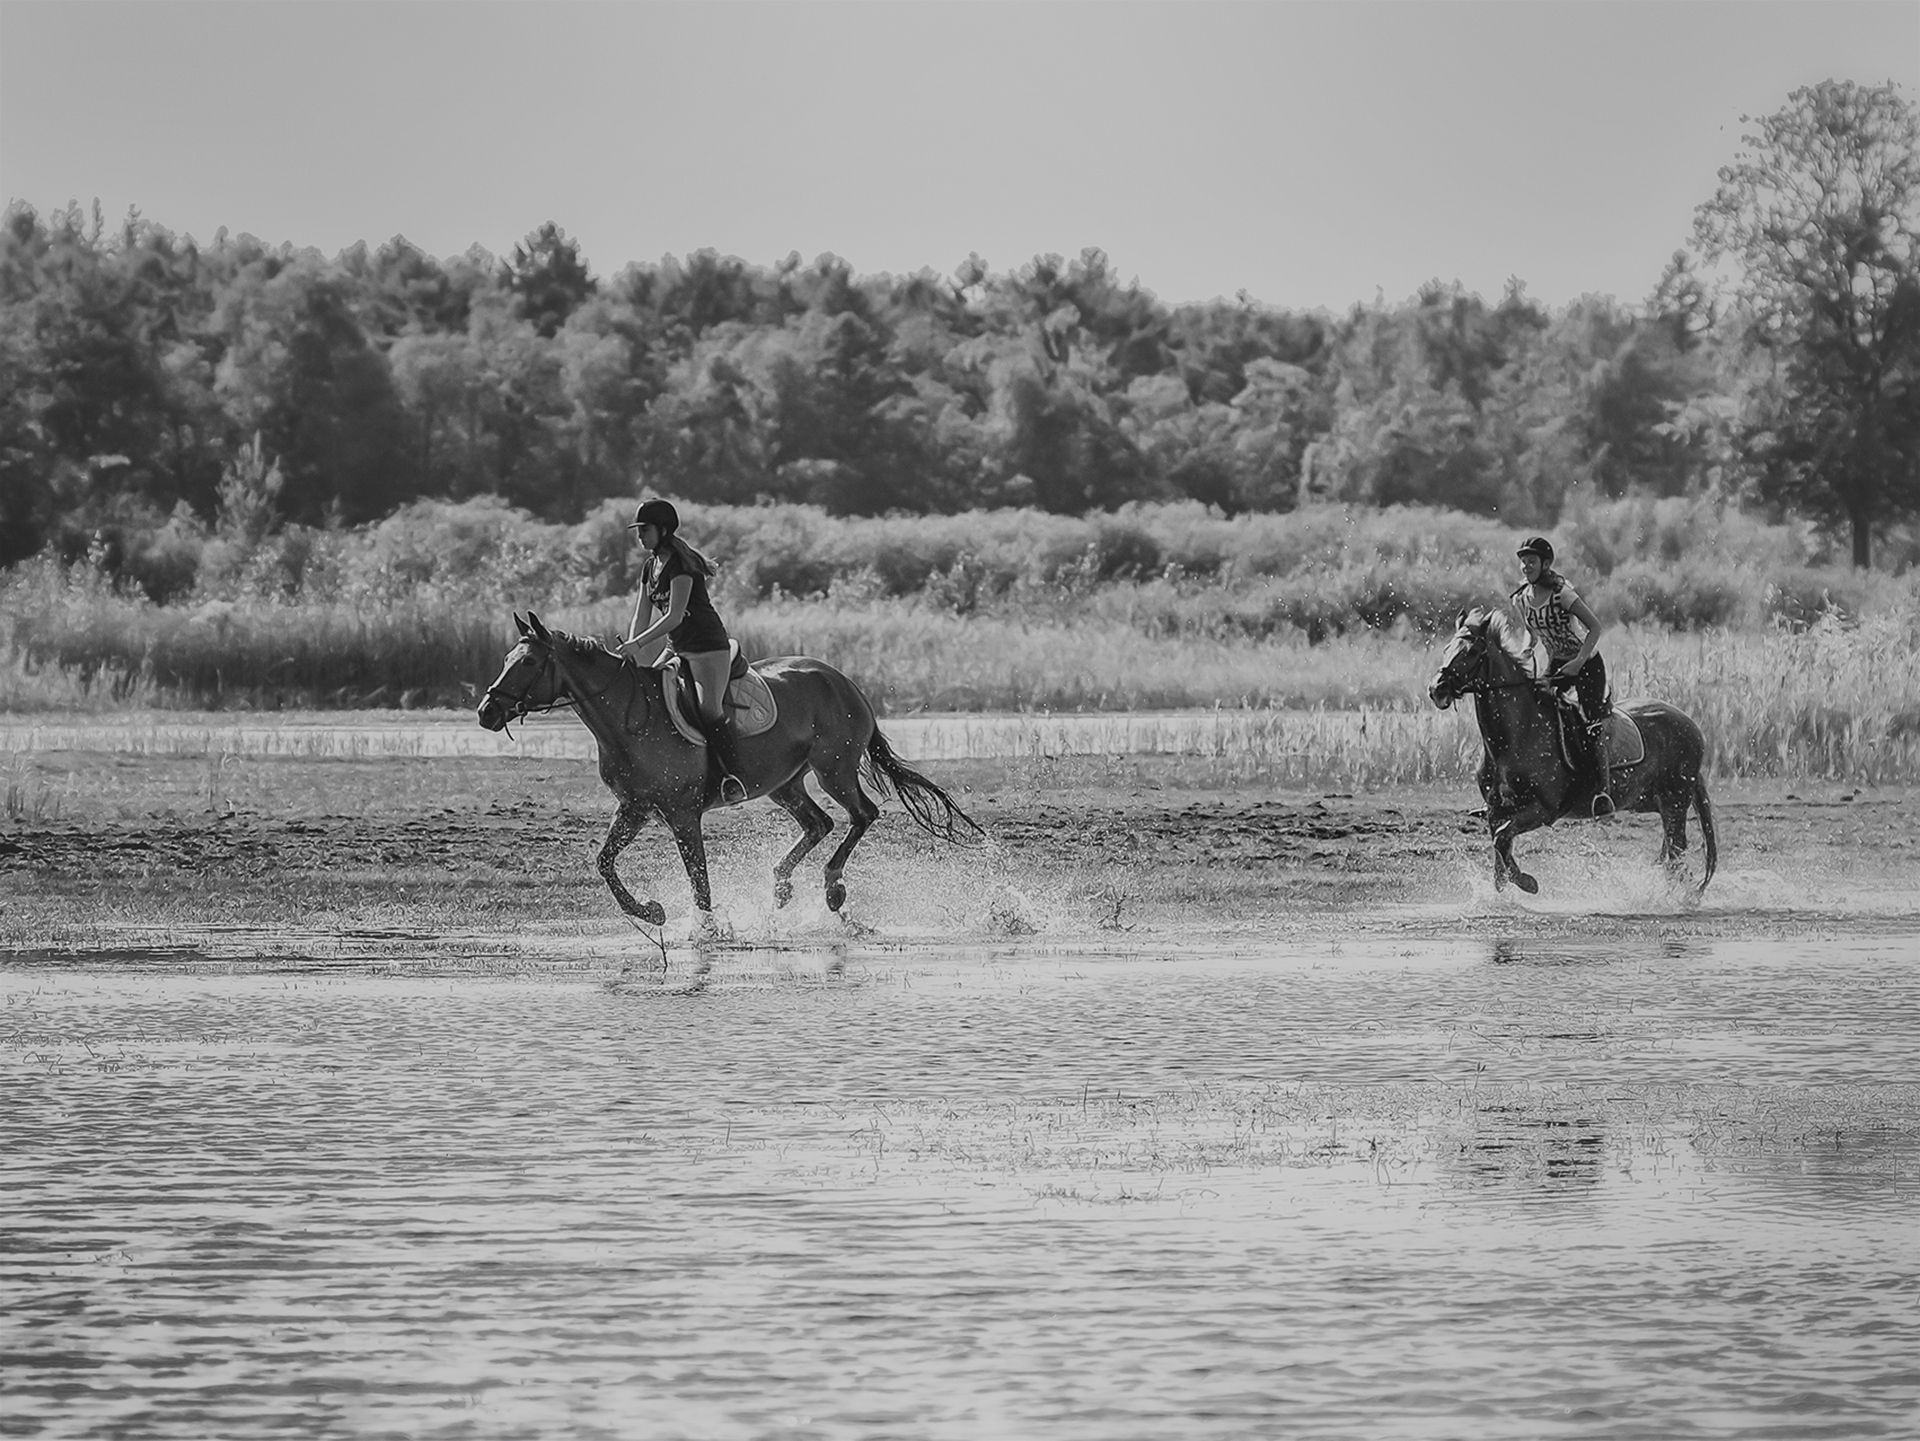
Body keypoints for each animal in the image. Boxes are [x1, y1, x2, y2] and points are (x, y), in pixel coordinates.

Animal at [477, 612, 981, 925]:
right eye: (505, 659)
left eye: (527, 661)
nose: (486, 712)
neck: (626, 716)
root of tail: (842, 680)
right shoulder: (635, 808)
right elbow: (604, 862)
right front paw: (651, 912)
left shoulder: (682, 814)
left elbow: (699, 880)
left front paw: (707, 933)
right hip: (786, 782)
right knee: (819, 822)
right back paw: (781, 886)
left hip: (832, 769)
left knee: (862, 814)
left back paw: (832, 887)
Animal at [1427, 605, 1717, 896]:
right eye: (1447, 648)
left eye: (1472, 651)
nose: (1436, 689)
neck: (1514, 738)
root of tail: (1693, 727)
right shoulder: (1496, 810)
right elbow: (1500, 848)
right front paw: (1507, 884)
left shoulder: (1544, 810)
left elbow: (1501, 840)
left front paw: (1527, 882)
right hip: (1650, 800)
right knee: (1671, 853)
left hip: (1674, 800)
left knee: (1677, 855)